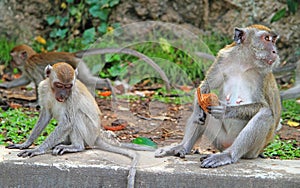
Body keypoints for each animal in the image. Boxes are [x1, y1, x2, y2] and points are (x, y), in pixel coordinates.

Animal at [0, 44, 170, 98]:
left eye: (13, 57)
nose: (11, 62)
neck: (29, 58)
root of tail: (72, 55)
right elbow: (25, 80)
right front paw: (4, 85)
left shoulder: (30, 66)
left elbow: (36, 82)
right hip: (80, 67)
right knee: (89, 80)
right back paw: (108, 85)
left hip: (77, 67)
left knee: (86, 80)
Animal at [5, 62, 155, 187]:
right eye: (59, 85)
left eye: (68, 86)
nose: (62, 95)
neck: (53, 92)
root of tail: (96, 136)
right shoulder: (43, 87)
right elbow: (45, 115)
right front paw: (26, 143)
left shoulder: (72, 95)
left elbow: (68, 122)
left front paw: (37, 150)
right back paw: (63, 143)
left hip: (89, 132)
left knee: (76, 116)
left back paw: (76, 146)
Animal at [155, 24, 282, 167]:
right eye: (267, 39)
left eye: (273, 40)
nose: (274, 52)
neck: (245, 63)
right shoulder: (223, 58)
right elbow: (204, 87)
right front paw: (200, 110)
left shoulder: (263, 75)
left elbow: (264, 106)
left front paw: (226, 110)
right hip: (220, 139)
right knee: (202, 111)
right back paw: (182, 146)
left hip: (253, 150)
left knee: (265, 114)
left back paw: (228, 155)